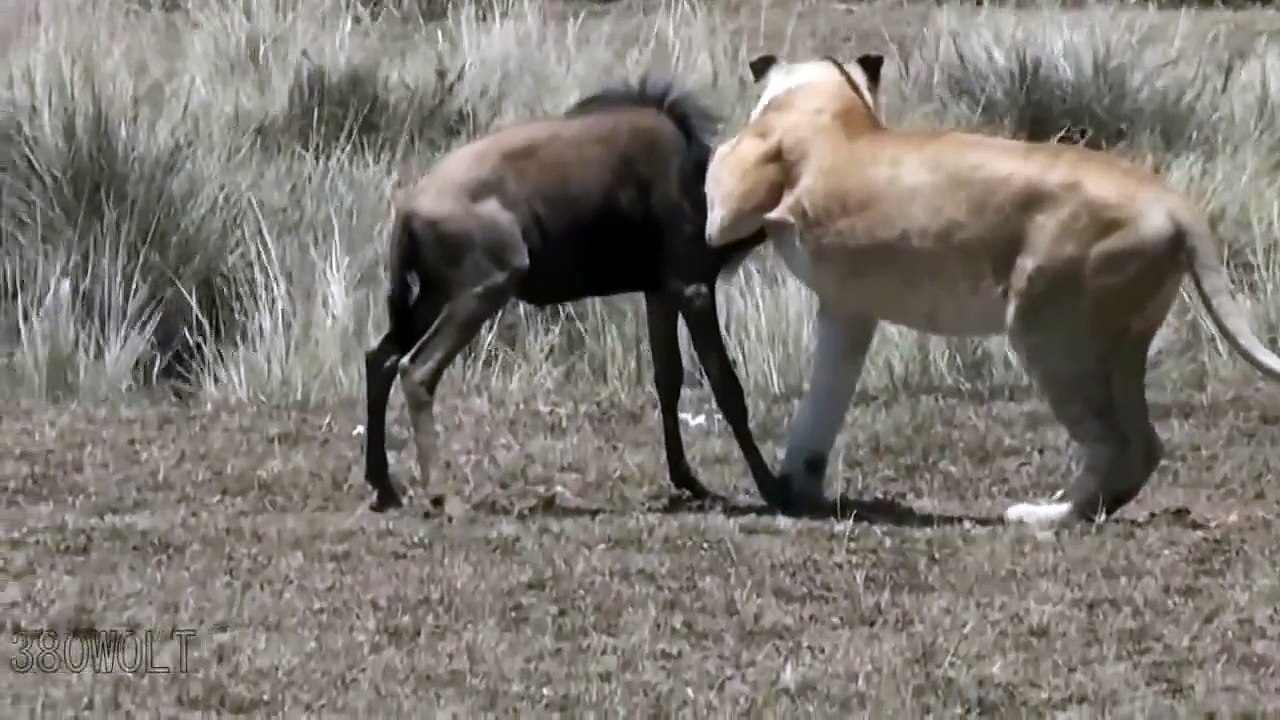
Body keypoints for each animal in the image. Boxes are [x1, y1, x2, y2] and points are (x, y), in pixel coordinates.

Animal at [702, 51, 1280, 526]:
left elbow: (718, 183)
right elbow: (824, 399)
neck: (835, 99)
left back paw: (1043, 517)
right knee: (1143, 444)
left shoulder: (734, 201)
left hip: (1047, 330)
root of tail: (1172, 199)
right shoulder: (849, 310)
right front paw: (798, 485)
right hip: (1122, 343)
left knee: (1114, 444)